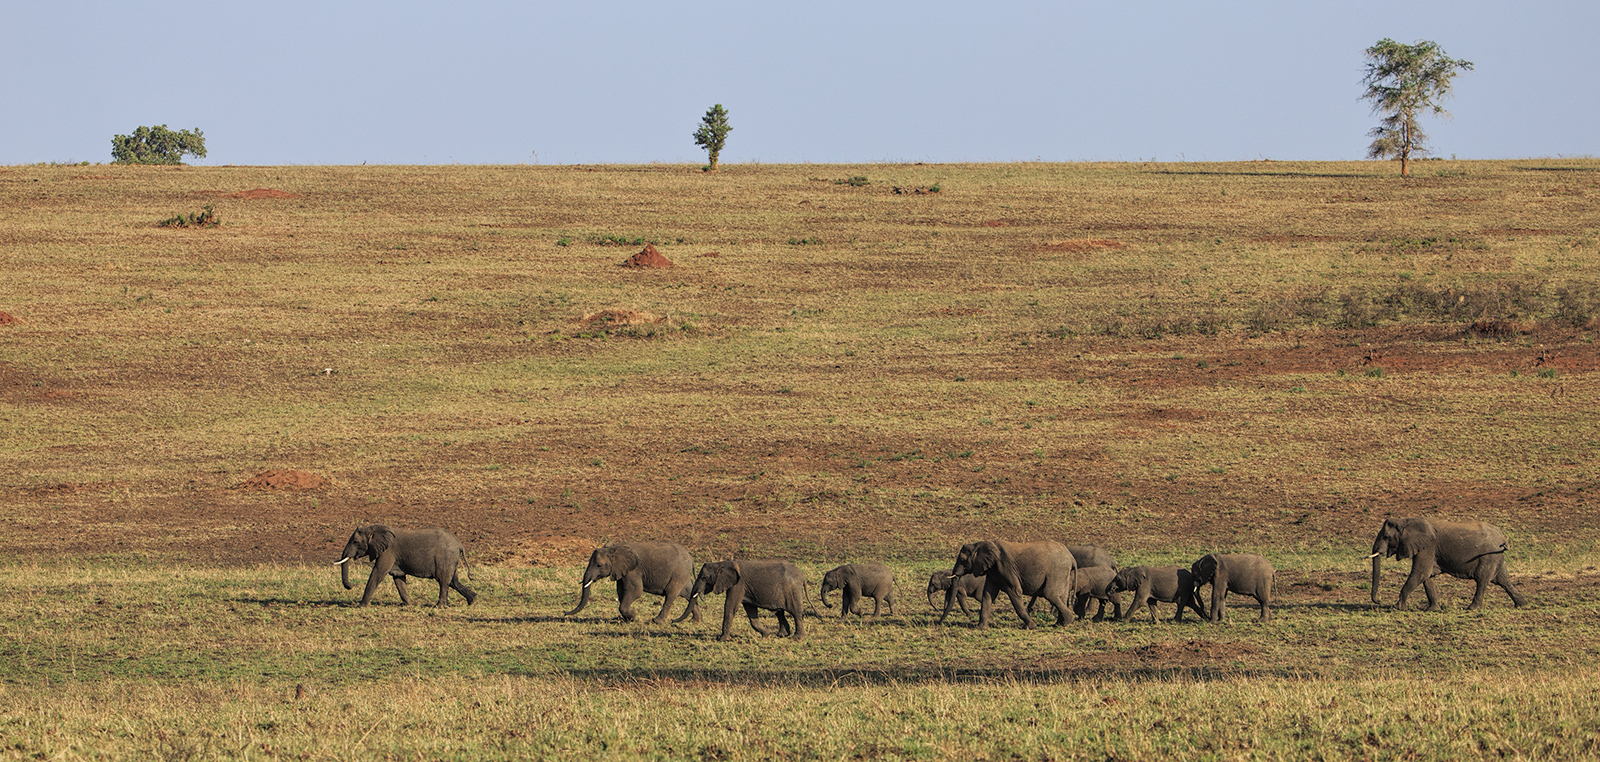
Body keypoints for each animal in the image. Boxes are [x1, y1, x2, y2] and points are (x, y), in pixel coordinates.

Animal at [335, 525, 476, 607]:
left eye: (355, 542)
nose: (350, 585)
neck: (376, 528)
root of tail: (459, 544)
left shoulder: (388, 552)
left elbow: (377, 574)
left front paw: (361, 606)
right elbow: (399, 578)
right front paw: (409, 605)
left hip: (445, 557)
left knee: (443, 580)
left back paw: (439, 606)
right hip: (450, 559)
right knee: (453, 581)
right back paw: (472, 600)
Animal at [563, 541, 702, 625]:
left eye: (599, 565)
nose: (564, 613)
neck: (615, 548)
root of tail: (691, 559)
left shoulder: (633, 570)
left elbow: (635, 591)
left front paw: (633, 615)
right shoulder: (622, 572)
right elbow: (621, 592)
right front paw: (627, 619)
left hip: (678, 573)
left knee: (670, 595)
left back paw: (657, 621)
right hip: (683, 575)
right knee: (689, 594)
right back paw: (695, 621)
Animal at [939, 540, 1077, 629]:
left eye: (962, 560)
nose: (939, 623)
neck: (980, 544)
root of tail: (1071, 558)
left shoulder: (1006, 567)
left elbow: (1015, 592)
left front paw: (1030, 626)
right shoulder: (993, 571)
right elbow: (988, 595)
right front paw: (980, 628)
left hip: (1056, 571)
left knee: (1050, 594)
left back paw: (1066, 622)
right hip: (1062, 573)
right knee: (1062, 596)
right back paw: (1060, 623)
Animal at [1367, 517, 1528, 611]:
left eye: (1386, 537)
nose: (1378, 601)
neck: (1406, 521)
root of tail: (1502, 537)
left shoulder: (1428, 546)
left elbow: (1420, 573)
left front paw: (1397, 607)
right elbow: (1427, 577)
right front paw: (1433, 610)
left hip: (1488, 556)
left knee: (1482, 580)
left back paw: (1472, 609)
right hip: (1496, 556)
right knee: (1503, 580)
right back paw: (1521, 604)